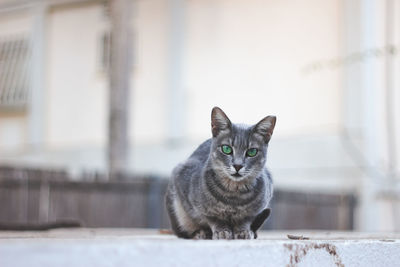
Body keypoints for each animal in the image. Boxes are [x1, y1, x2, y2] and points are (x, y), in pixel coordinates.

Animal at [165, 107, 276, 241]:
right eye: (226, 149)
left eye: (252, 152)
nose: (237, 165)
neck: (233, 196)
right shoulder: (199, 205)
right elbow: (213, 218)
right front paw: (222, 231)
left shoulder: (256, 210)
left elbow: (245, 220)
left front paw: (243, 231)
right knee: (183, 232)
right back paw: (201, 233)